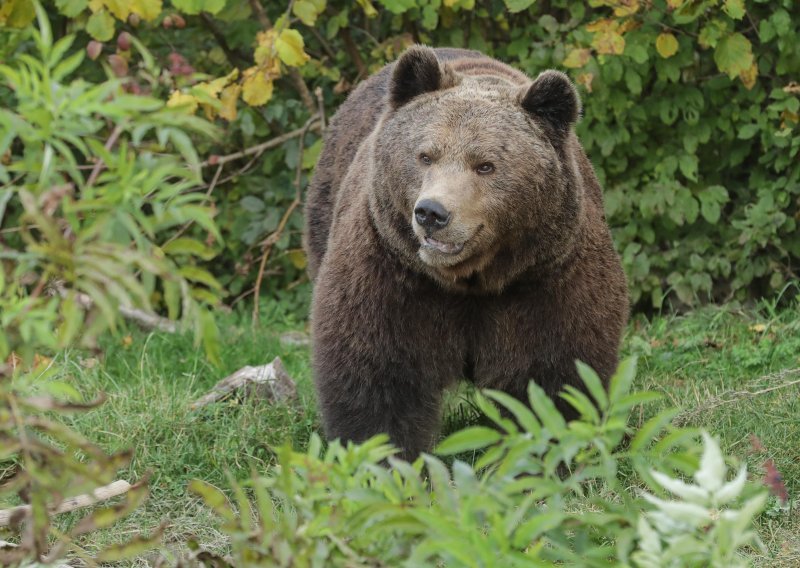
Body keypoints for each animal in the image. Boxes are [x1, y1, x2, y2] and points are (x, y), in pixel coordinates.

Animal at [304, 46, 628, 460]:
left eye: (485, 165)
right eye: (425, 155)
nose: (431, 213)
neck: (471, 279)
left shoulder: (548, 276)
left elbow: (554, 375)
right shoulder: (392, 272)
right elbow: (378, 374)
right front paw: (383, 456)